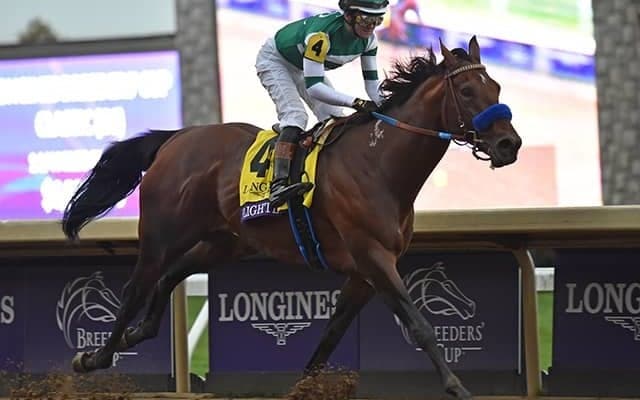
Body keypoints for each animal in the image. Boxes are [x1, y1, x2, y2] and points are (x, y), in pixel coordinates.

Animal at [61, 36, 521, 400]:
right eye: (466, 90)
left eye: (496, 86)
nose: (509, 144)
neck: (378, 164)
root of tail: (177, 138)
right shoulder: (373, 257)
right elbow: (420, 326)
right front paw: (457, 387)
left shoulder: (363, 273)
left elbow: (330, 337)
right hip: (163, 232)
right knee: (135, 287)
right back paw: (95, 357)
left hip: (224, 241)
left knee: (171, 274)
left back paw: (136, 334)